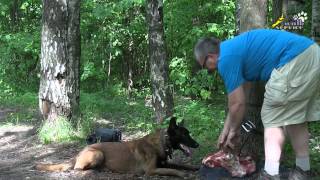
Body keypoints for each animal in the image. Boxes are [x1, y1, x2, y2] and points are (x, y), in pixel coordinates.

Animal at [35, 117, 200, 178]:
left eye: (189, 133)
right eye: (185, 135)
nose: (198, 145)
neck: (162, 143)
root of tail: (78, 153)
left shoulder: (164, 163)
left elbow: (181, 165)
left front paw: (196, 167)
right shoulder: (151, 170)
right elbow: (173, 170)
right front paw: (182, 174)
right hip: (97, 154)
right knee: (77, 169)